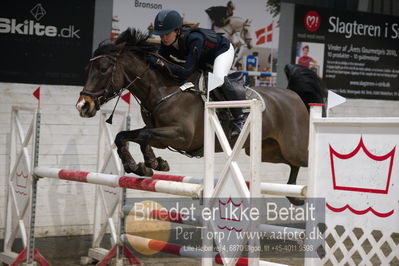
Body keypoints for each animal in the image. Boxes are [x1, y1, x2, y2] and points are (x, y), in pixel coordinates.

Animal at [76, 28, 326, 204]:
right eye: (88, 69)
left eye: (104, 69)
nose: (83, 106)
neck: (163, 89)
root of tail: (293, 94)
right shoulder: (161, 135)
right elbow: (128, 136)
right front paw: (144, 164)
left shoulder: (182, 136)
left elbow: (143, 135)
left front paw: (149, 163)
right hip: (269, 150)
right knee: (294, 165)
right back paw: (294, 194)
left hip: (292, 146)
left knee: (308, 160)